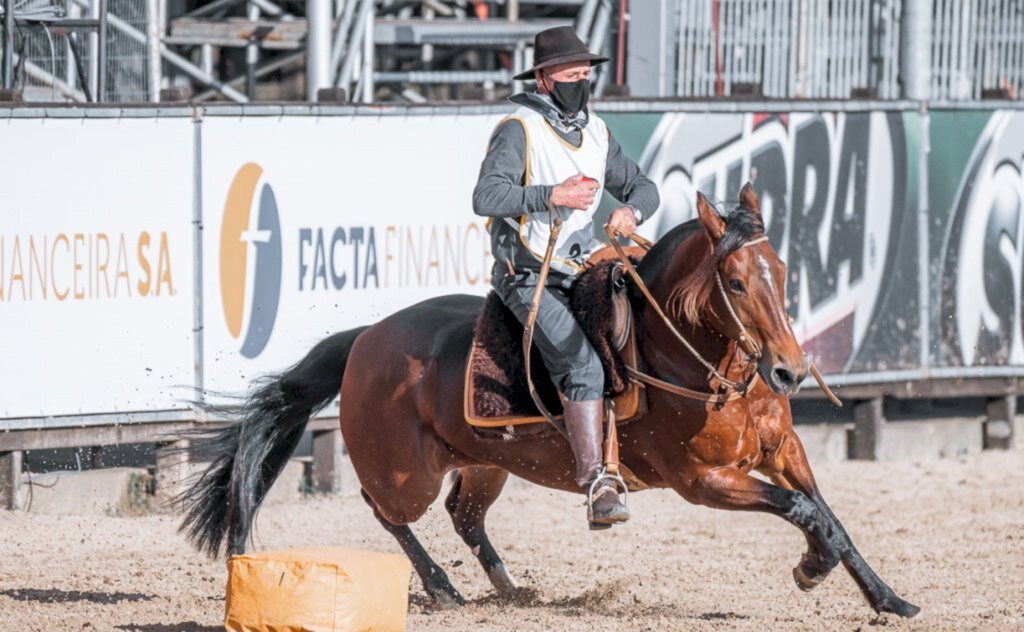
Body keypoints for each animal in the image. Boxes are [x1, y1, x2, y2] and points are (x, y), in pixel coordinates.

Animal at [180, 184, 925, 618]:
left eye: (782, 271)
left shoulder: (783, 449)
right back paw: (443, 588)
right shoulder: (703, 481)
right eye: (737, 282)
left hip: (486, 462)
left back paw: (511, 588)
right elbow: (802, 511)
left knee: (464, 516)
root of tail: (365, 339)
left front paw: (888, 597)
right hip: (404, 472)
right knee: (386, 509)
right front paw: (809, 569)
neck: (689, 360)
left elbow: (828, 515)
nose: (789, 370)